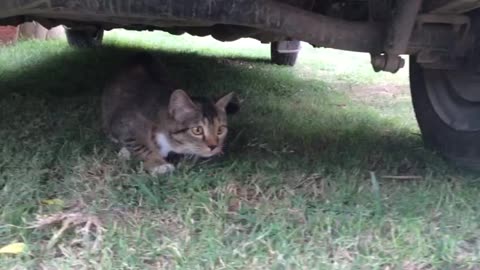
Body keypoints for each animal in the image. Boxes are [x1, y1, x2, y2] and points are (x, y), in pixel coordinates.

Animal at [102, 52, 237, 175]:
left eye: (220, 130)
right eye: (197, 130)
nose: (214, 146)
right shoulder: (125, 121)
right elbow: (139, 144)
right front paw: (158, 164)